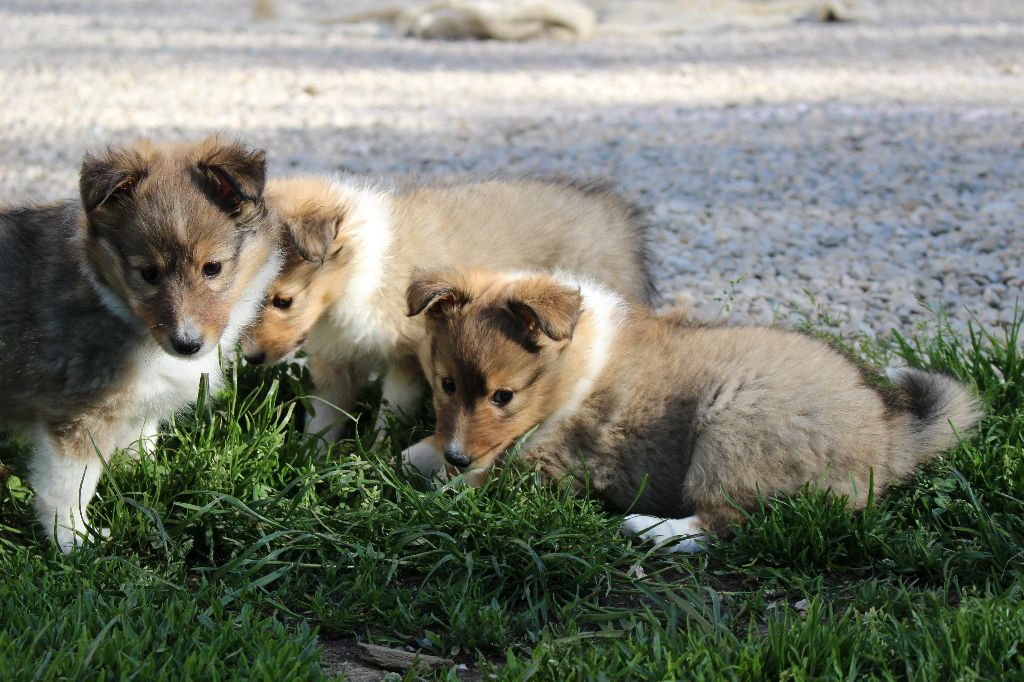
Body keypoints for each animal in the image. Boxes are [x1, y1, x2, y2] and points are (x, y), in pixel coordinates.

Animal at [0, 135, 282, 548]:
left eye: (212, 268)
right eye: (149, 273)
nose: (187, 345)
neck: (112, 301)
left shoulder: (139, 402)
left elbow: (141, 439)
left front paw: (147, 475)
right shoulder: (77, 412)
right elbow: (69, 487)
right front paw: (76, 541)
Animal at [243, 173, 651, 440]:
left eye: (283, 300)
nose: (250, 358)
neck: (361, 274)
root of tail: (619, 220)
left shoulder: (407, 358)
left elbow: (390, 413)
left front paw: (375, 456)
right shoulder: (337, 360)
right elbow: (324, 417)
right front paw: (310, 462)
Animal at [401, 268, 983, 548]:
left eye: (503, 396)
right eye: (446, 383)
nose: (457, 454)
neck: (572, 371)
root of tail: (887, 434)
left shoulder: (547, 463)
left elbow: (478, 480)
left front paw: (438, 488)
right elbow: (422, 453)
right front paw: (421, 456)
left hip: (736, 429)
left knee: (729, 521)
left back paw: (648, 528)